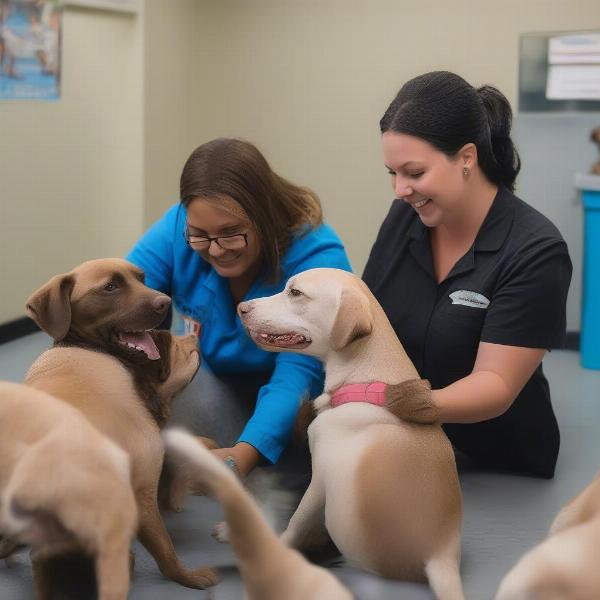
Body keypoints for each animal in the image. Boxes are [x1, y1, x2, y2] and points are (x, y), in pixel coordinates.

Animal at [25, 258, 220, 592]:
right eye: (110, 287)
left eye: (142, 277)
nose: (165, 302)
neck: (90, 352)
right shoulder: (142, 491)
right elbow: (166, 552)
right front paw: (189, 578)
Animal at [238, 268, 464, 600]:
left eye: (295, 293)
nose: (241, 308)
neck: (366, 381)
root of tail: (441, 557)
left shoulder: (320, 480)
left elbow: (295, 523)